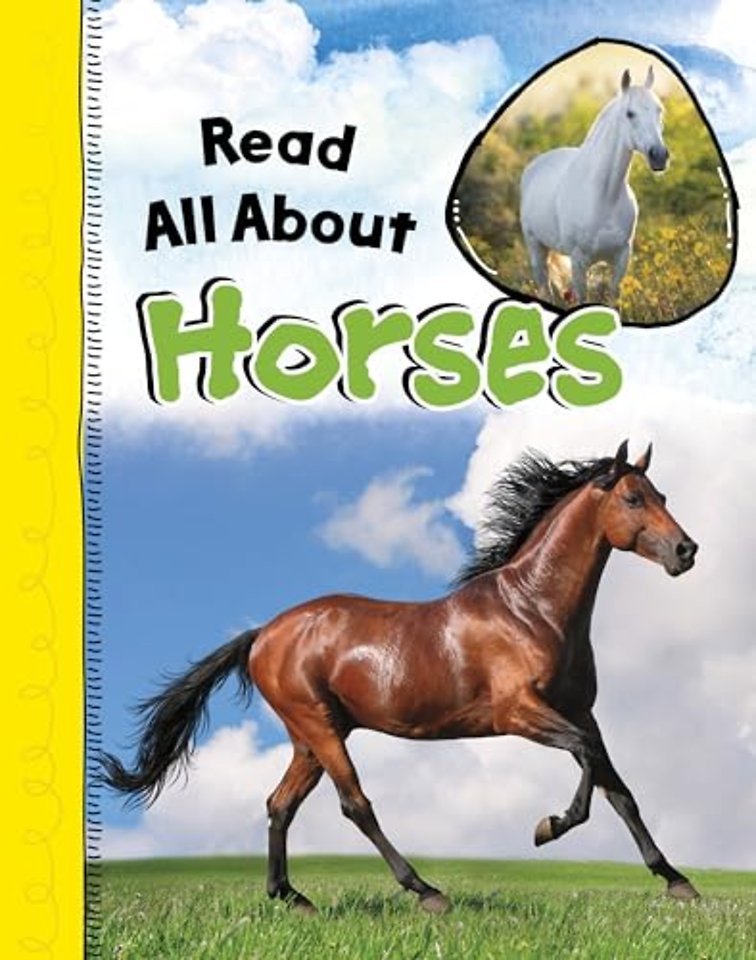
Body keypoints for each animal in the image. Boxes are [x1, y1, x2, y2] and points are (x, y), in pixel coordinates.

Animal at [101, 440, 701, 914]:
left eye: (663, 497)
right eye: (633, 498)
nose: (686, 550)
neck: (532, 609)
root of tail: (263, 634)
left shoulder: (582, 711)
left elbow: (618, 788)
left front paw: (677, 882)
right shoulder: (519, 713)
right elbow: (586, 762)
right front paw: (547, 827)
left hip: (311, 737)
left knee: (280, 805)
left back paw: (292, 898)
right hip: (319, 728)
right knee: (354, 804)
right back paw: (426, 891)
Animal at [520, 67, 669, 305]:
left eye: (659, 110)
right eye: (630, 113)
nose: (659, 156)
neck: (604, 196)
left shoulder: (621, 259)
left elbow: (613, 298)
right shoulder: (579, 261)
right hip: (536, 249)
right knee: (545, 288)